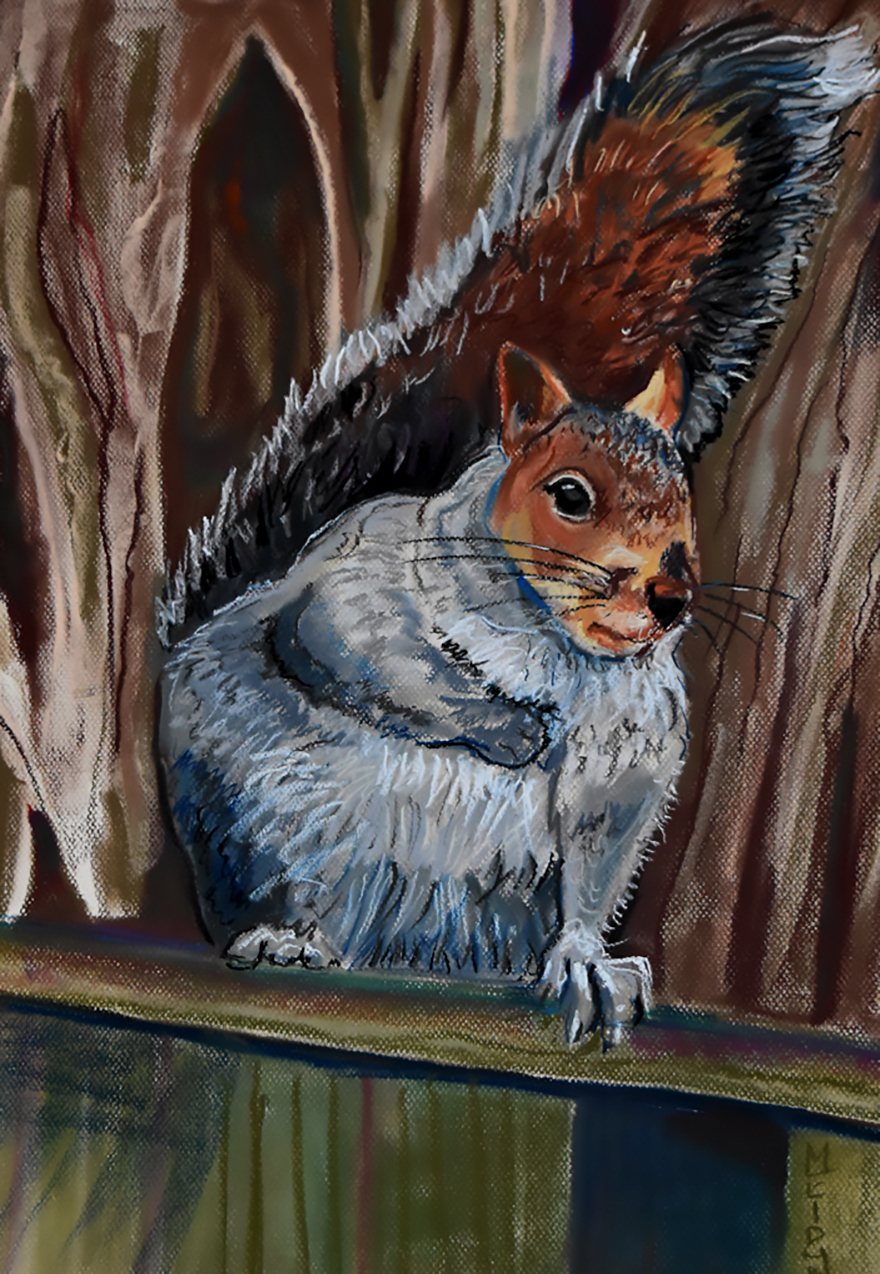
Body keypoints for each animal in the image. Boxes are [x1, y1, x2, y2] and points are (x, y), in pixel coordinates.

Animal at [157, 21, 878, 1044]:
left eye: (684, 503)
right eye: (568, 494)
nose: (670, 597)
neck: (552, 644)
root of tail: (408, 949)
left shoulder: (629, 752)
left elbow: (594, 861)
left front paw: (586, 960)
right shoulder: (359, 576)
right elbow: (348, 645)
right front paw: (506, 729)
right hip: (253, 824)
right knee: (278, 889)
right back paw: (285, 937)